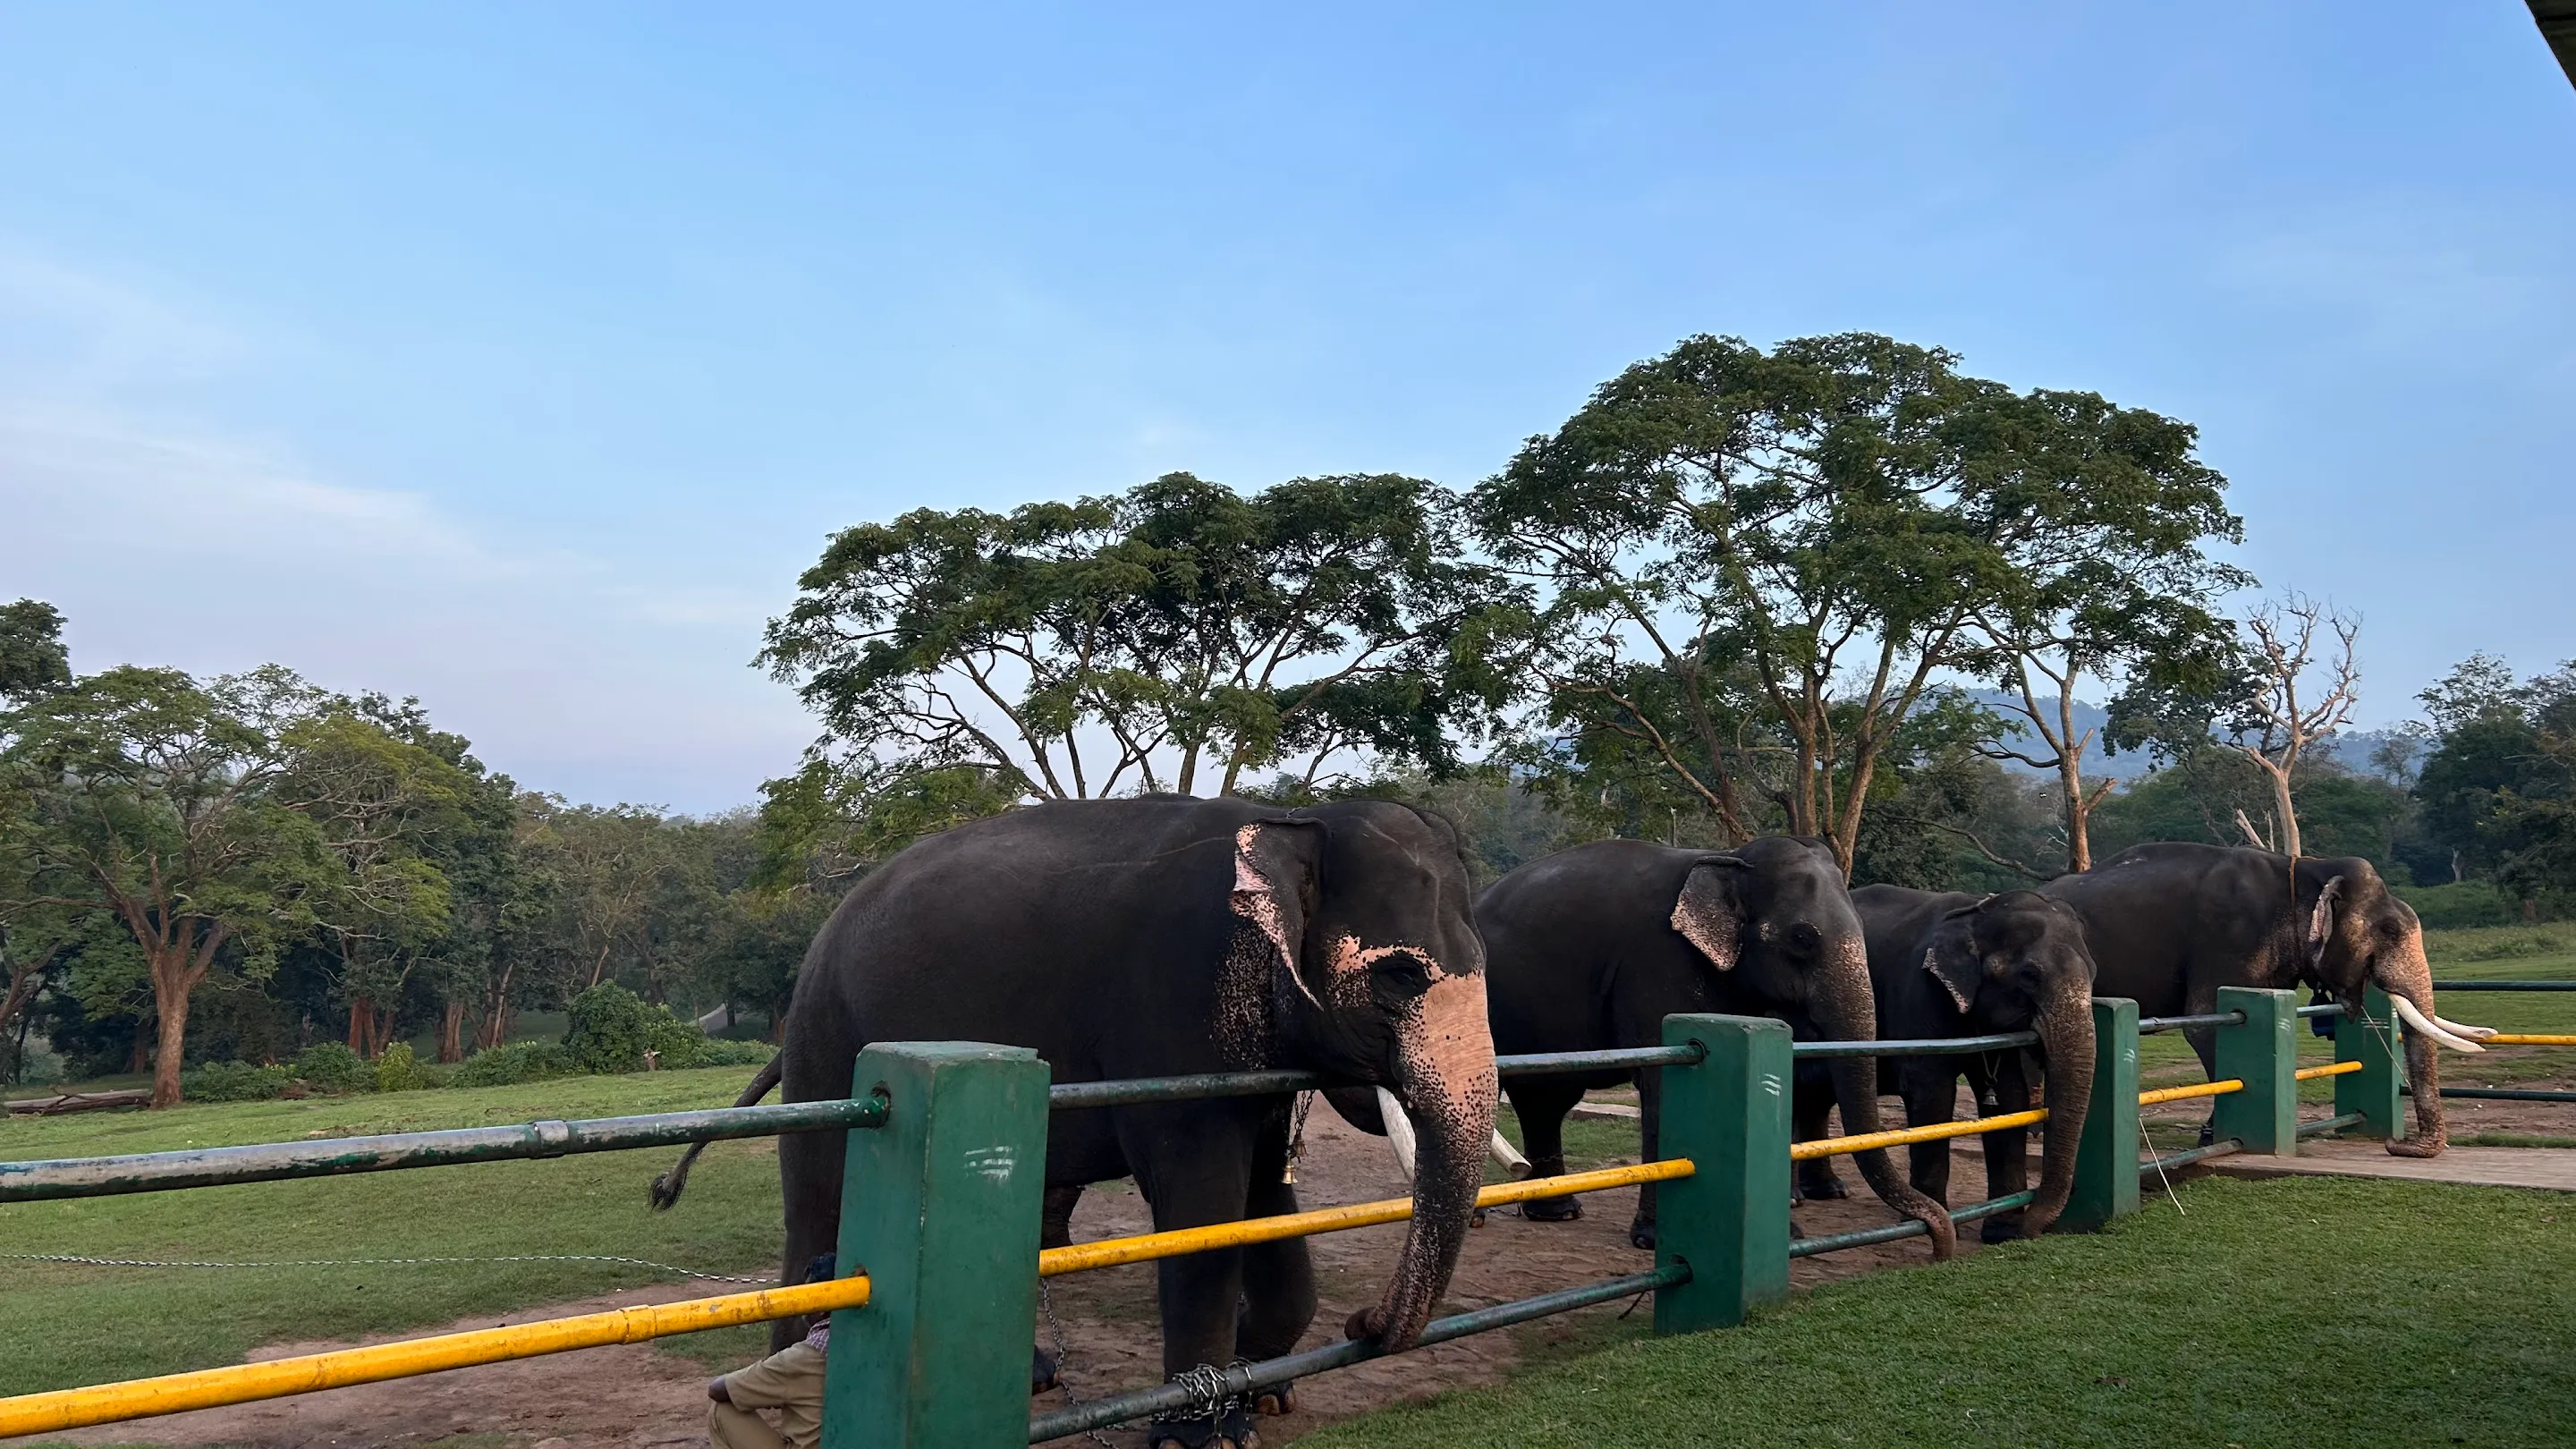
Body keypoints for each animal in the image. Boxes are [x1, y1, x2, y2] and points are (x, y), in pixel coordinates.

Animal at [648, 796, 1497, 1449]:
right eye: (1400, 975)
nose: (1365, 1323)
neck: (1292, 816)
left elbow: (1263, 1195)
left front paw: (1264, 1390)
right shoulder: (1171, 1004)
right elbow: (1199, 1202)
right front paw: (1205, 1435)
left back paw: (1030, 1379)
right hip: (830, 1040)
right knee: (821, 1201)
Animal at [1479, 835, 1956, 1257]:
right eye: (1802, 938)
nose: (1936, 1237)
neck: (1727, 857)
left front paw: (1790, 1238)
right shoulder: (1657, 960)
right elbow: (1665, 1078)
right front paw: (1652, 1241)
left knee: (1546, 1098)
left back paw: (1558, 1213)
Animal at [1792, 889, 2098, 1243]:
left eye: (2093, 974)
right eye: (2030, 975)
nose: (2028, 1230)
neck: (1975, 911)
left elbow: (2009, 1099)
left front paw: (2001, 1232)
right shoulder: (1920, 993)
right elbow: (1933, 1094)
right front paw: (1927, 1224)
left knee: (1815, 1097)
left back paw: (1828, 1191)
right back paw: (1799, 1199)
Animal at [2038, 841, 2494, 1157]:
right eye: (2391, 930)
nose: (2397, 1147)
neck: (2304, 866)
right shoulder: (2229, 936)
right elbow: (2206, 1025)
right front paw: (2212, 1137)